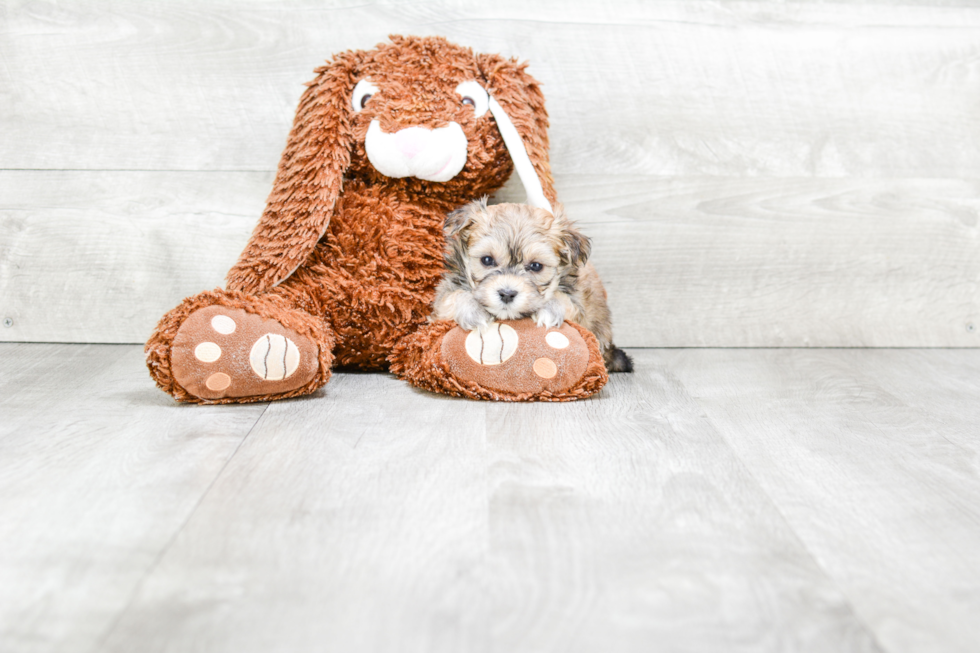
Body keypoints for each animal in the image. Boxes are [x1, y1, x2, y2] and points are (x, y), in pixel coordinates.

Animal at [430, 197, 632, 372]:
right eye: (487, 260)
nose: (507, 294)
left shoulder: (580, 308)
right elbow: (453, 296)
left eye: (536, 266)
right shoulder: (441, 300)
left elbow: (563, 300)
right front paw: (473, 311)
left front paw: (550, 309)